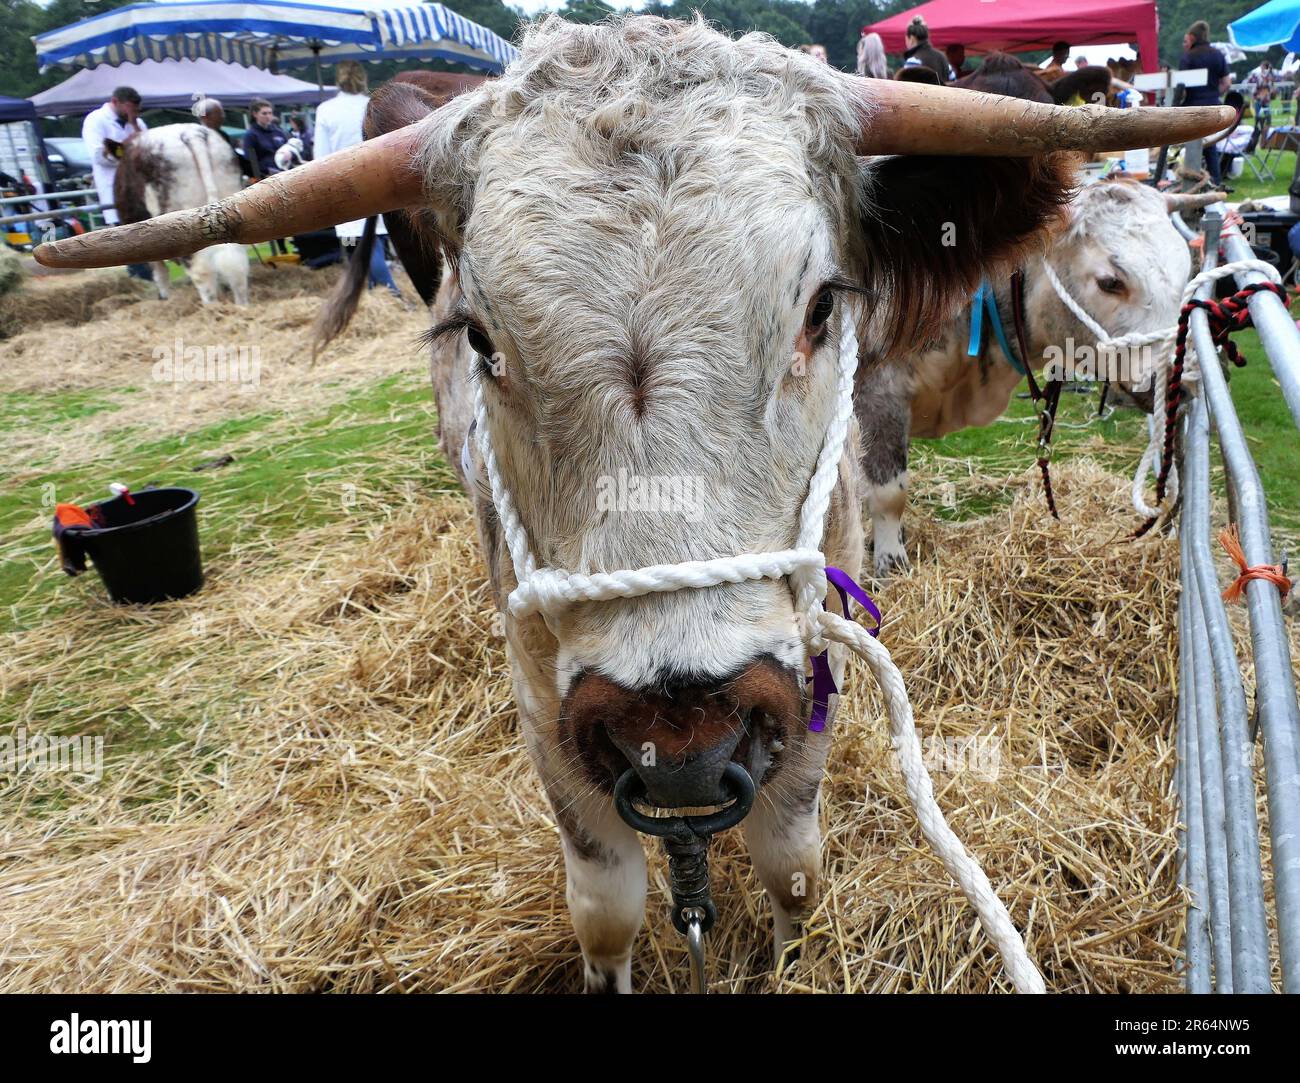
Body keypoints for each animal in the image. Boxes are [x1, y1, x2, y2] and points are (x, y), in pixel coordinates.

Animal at [113, 124, 246, 306]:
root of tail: (192, 133)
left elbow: (160, 272)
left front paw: (164, 297)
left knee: (202, 272)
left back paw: (212, 308)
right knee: (236, 267)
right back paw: (241, 307)